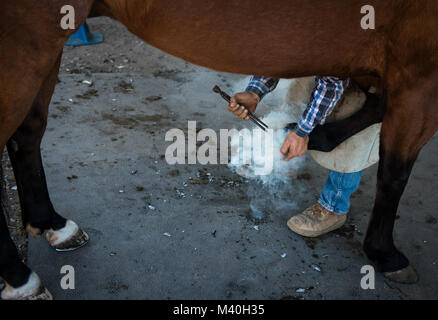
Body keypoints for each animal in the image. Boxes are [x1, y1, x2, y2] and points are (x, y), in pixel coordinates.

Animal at [0, 0, 438, 298]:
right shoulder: (418, 76)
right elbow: (394, 174)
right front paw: (385, 253)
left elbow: (373, 112)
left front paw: (313, 135)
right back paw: (21, 278)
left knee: (27, 135)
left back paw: (54, 224)